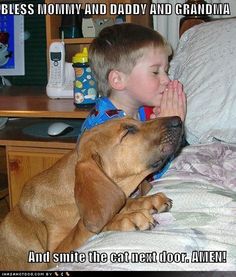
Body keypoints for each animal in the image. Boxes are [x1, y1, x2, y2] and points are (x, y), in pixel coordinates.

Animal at [0, 115, 183, 268]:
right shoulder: (53, 255)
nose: (178, 120)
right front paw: (128, 218)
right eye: (128, 131)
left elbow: (119, 202)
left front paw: (148, 201)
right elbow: (86, 226)